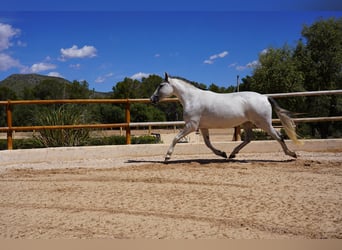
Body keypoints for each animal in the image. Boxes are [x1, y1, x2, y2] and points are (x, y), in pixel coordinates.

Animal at [151, 73, 300, 161]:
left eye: (161, 85)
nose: (152, 99)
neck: (192, 99)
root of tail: (265, 97)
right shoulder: (202, 127)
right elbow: (208, 143)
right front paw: (222, 153)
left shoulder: (191, 125)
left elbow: (176, 138)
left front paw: (167, 156)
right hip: (247, 123)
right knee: (249, 138)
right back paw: (232, 154)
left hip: (264, 123)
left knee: (279, 136)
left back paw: (292, 154)